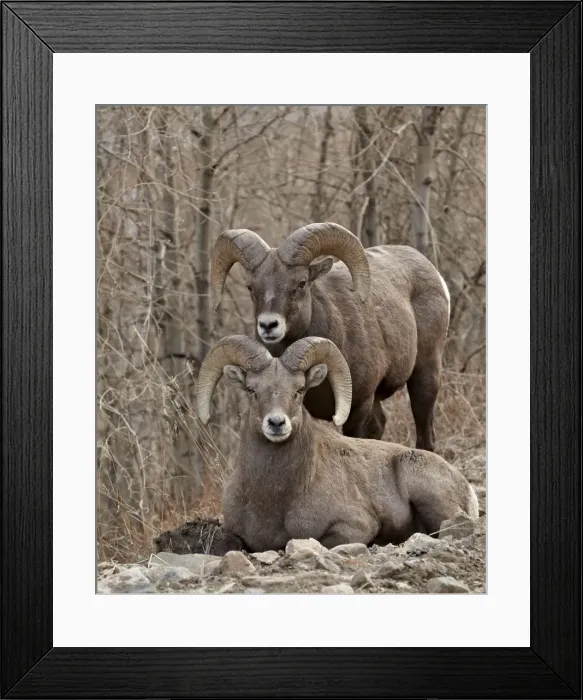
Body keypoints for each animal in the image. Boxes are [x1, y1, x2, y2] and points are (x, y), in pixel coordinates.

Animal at [196, 335, 478, 554]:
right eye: (252, 390)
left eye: (299, 390)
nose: (276, 423)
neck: (272, 496)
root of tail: (465, 487)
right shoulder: (233, 535)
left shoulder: (353, 527)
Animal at [210, 222, 449, 451]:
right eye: (251, 287)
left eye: (301, 283)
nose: (268, 325)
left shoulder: (358, 407)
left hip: (425, 377)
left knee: (425, 436)